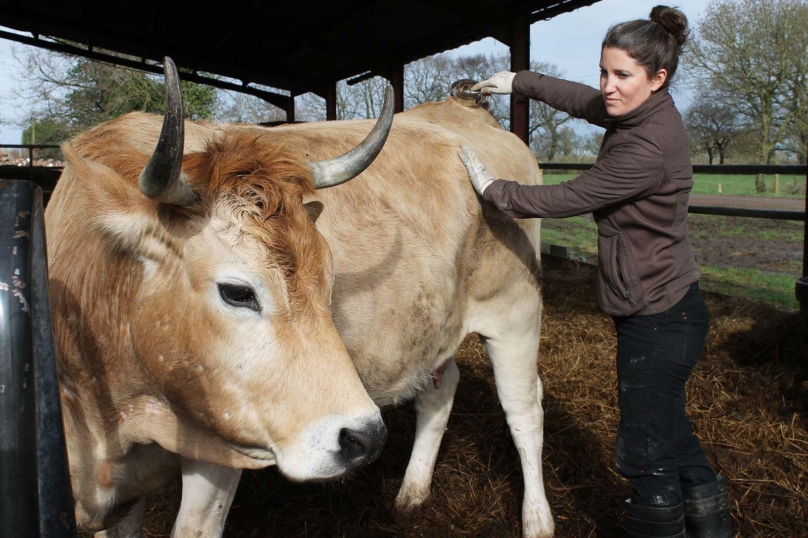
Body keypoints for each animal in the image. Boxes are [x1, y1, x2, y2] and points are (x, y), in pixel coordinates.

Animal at [50, 58, 552, 536]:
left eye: (329, 279)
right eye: (237, 292)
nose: (365, 437)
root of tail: (463, 109)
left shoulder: (224, 442)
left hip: (516, 313)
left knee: (525, 410)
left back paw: (537, 519)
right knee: (439, 393)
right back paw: (412, 493)